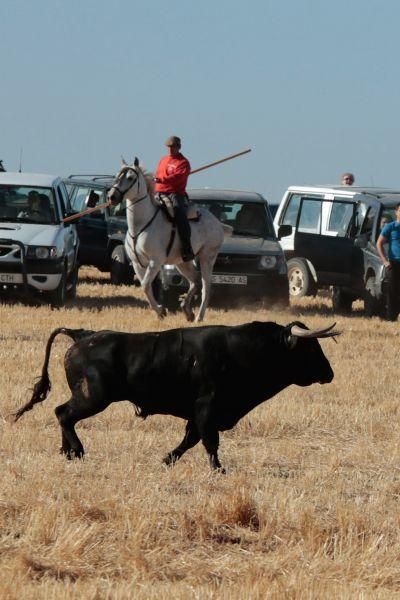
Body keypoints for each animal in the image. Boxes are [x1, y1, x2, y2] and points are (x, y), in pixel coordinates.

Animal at [14, 322, 338, 472]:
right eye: (311, 348)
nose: (330, 373)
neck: (242, 350)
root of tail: (82, 335)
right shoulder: (207, 407)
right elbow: (208, 441)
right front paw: (218, 469)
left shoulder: (201, 413)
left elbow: (190, 439)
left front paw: (167, 459)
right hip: (93, 398)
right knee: (64, 414)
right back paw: (78, 451)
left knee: (62, 414)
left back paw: (66, 452)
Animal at [107, 157, 231, 322]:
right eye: (116, 176)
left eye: (130, 178)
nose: (111, 197)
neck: (140, 225)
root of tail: (218, 223)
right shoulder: (137, 263)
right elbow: (146, 287)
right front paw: (160, 310)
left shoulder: (155, 262)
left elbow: (145, 285)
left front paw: (161, 310)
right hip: (182, 262)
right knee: (195, 281)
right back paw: (187, 310)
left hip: (207, 258)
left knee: (206, 287)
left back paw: (199, 317)